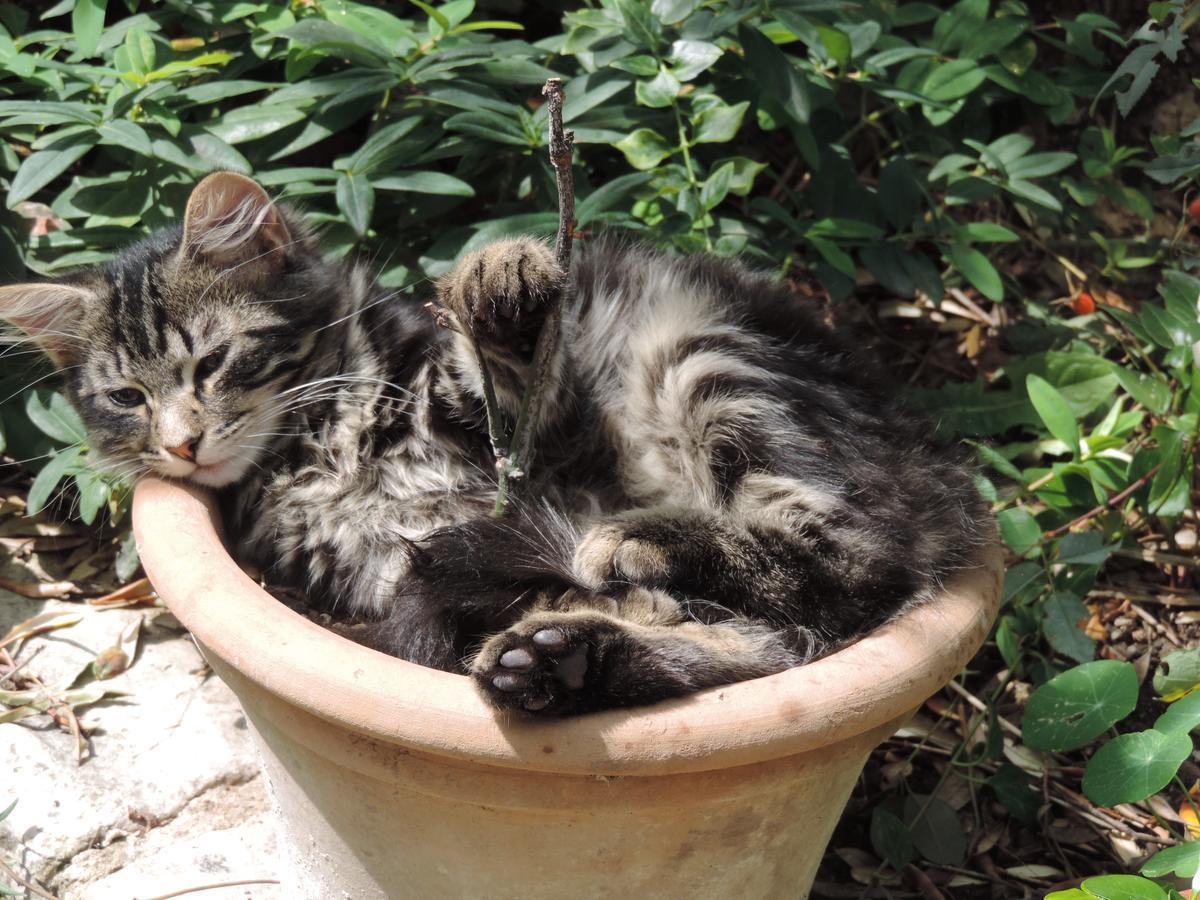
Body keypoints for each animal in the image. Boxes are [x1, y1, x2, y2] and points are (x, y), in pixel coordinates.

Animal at [0, 172, 993, 715]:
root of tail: (934, 467)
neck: (314, 450)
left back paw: (633, 557)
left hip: (701, 358)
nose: (183, 444)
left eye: (211, 362)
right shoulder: (390, 565)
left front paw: (498, 285)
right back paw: (565, 660)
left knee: (848, 563)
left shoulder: (544, 450)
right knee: (775, 638)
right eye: (126, 397)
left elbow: (502, 383)